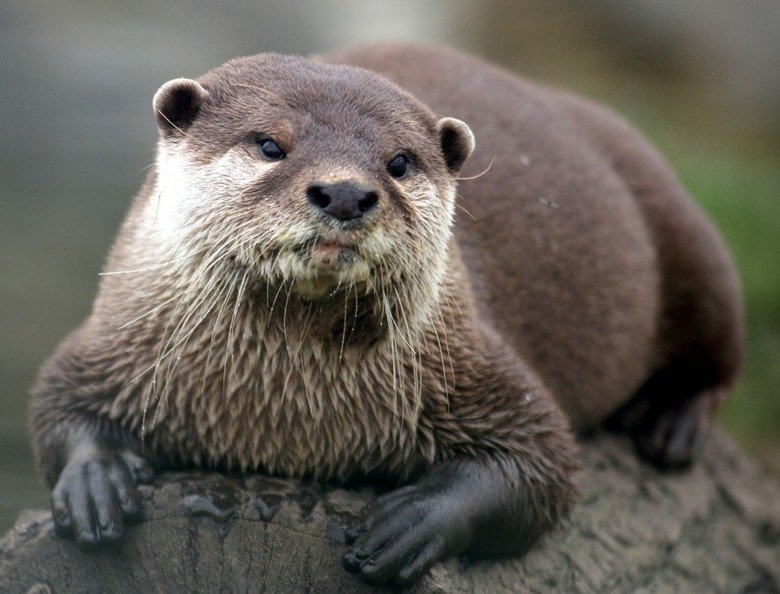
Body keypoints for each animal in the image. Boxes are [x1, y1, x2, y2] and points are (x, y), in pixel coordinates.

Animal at [30, 43, 743, 586]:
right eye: (270, 145)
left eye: (398, 162)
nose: (346, 192)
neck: (279, 419)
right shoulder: (112, 338)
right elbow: (56, 402)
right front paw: (96, 480)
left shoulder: (480, 367)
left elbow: (544, 463)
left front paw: (414, 520)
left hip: (686, 235)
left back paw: (671, 424)